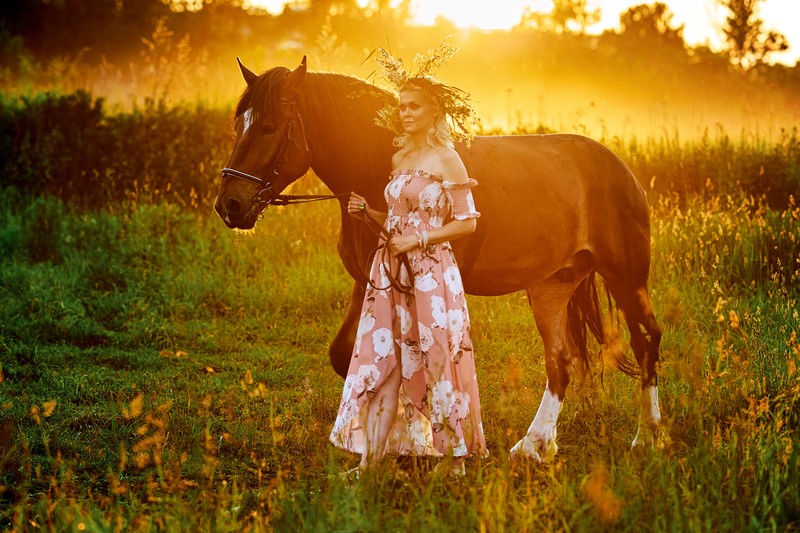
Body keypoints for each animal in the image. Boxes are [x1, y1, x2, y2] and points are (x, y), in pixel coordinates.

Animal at [214, 56, 668, 460]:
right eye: (239, 125)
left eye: (270, 127)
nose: (229, 205)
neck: (377, 167)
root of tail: (618, 166)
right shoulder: (369, 279)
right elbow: (348, 357)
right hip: (551, 287)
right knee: (562, 360)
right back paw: (535, 446)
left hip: (625, 277)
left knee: (645, 339)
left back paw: (647, 437)